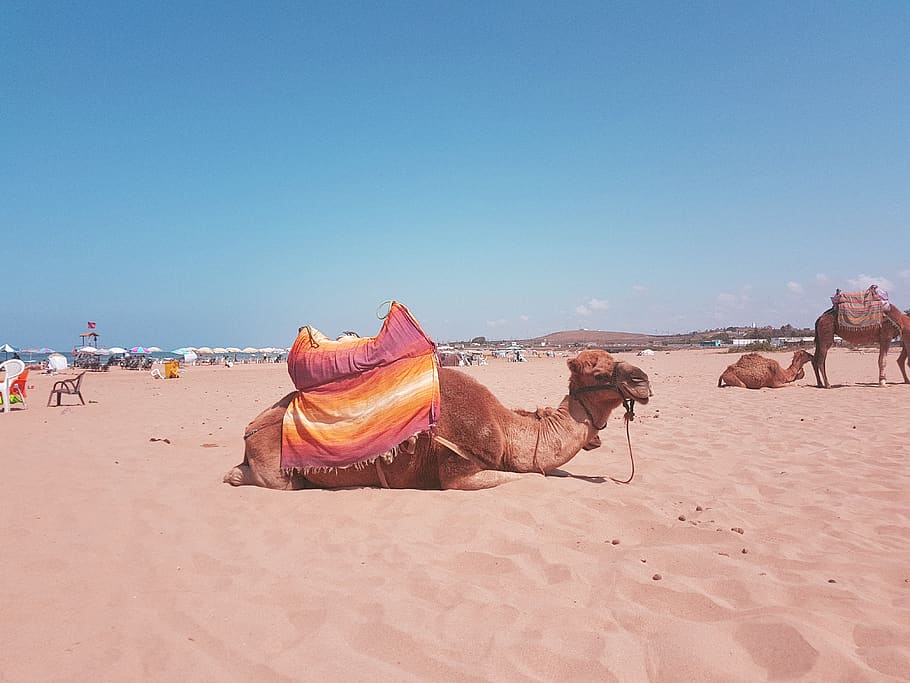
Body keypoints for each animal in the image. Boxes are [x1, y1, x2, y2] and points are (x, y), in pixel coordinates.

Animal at [223, 349, 652, 491]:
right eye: (599, 372)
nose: (643, 380)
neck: (507, 430)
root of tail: (249, 429)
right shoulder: (457, 471)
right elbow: (529, 477)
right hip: (278, 469)